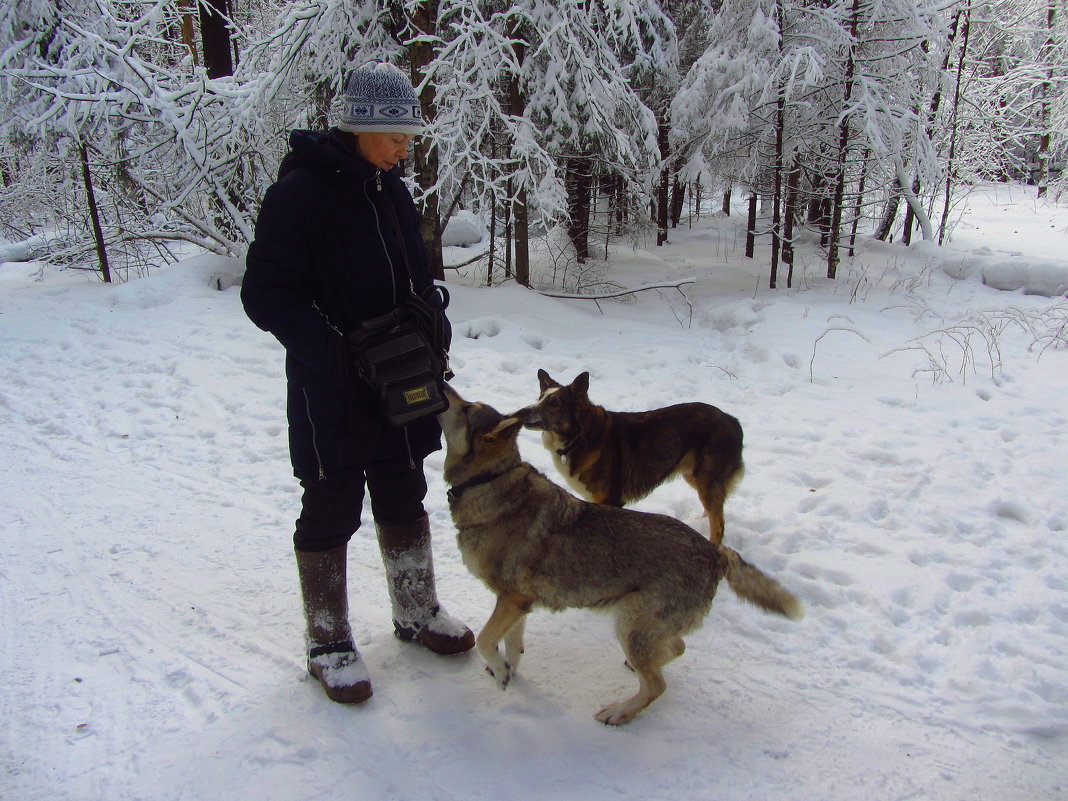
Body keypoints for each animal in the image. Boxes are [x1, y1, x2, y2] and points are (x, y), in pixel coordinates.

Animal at [523, 369, 743, 546]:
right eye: (539, 397)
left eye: (554, 403)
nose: (523, 412)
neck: (581, 436)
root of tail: (731, 420)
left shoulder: (610, 500)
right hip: (694, 476)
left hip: (707, 481)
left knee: (718, 524)